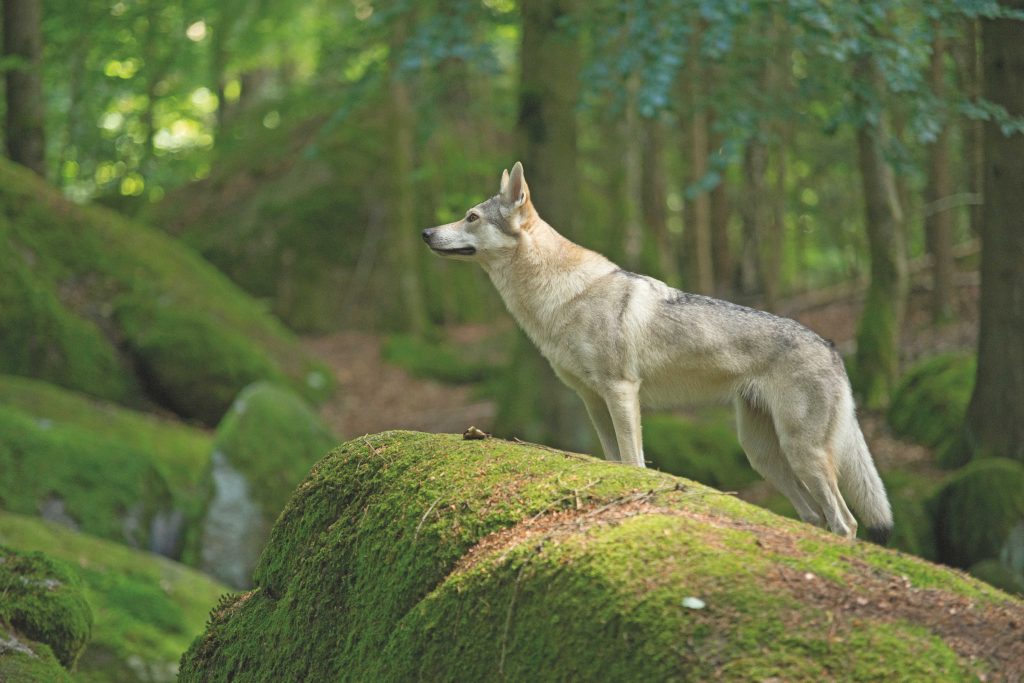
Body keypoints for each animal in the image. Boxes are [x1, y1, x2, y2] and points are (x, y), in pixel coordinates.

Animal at [419, 162, 892, 540]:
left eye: (471, 216)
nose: (424, 232)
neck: (559, 297)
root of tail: (833, 348)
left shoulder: (621, 391)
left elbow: (634, 462)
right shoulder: (592, 400)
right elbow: (614, 461)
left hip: (801, 453)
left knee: (846, 521)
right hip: (763, 456)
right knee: (816, 517)